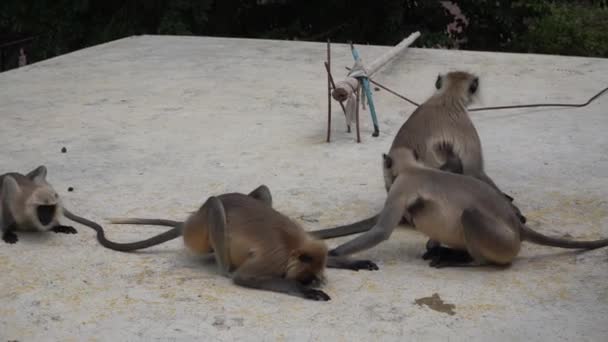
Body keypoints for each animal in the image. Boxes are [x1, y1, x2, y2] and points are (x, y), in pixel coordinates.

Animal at [73, 186, 372, 300]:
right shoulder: (274, 258)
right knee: (215, 203)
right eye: (306, 278)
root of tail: (189, 221)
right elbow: (244, 278)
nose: (312, 283)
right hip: (202, 229)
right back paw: (224, 269)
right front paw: (305, 292)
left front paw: (348, 261)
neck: (292, 245)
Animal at [328, 148, 608, 268]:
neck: (413, 168)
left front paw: (333, 254)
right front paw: (434, 246)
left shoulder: (401, 186)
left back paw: (467, 260)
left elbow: (381, 232)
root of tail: (517, 226)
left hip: (503, 242)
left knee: (471, 218)